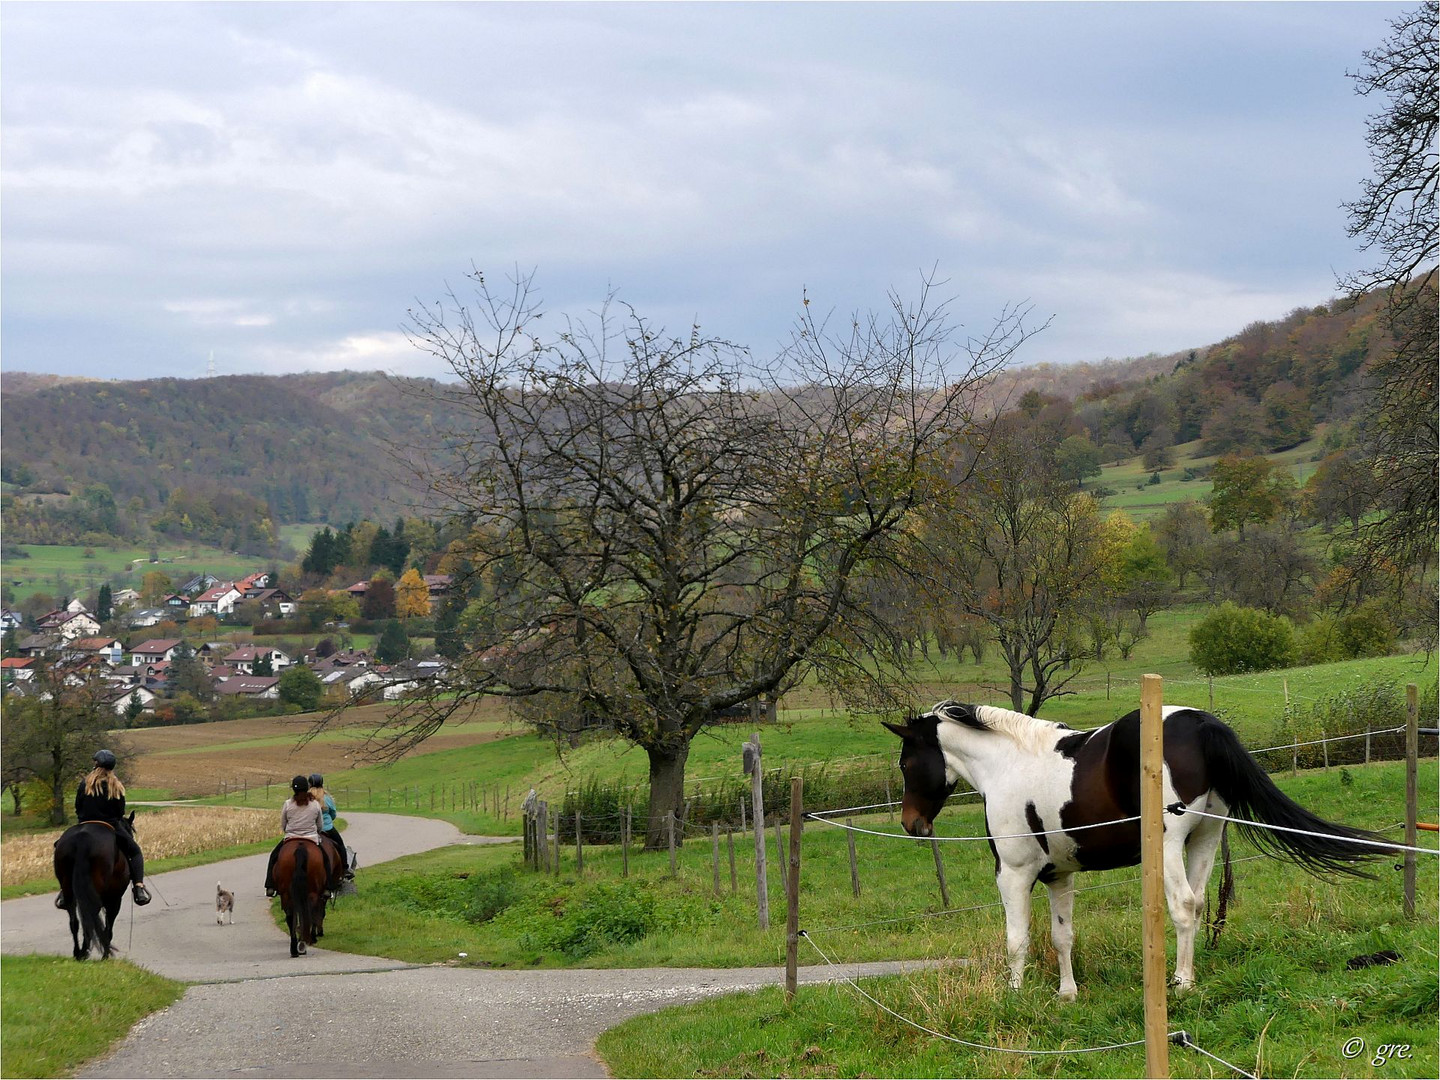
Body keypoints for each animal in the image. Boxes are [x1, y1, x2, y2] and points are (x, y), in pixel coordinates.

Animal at [54, 817, 134, 961]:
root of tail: (81, 838)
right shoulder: (114, 900)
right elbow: (108, 926)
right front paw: (106, 952)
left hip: (67, 886)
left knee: (74, 921)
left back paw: (78, 953)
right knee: (90, 918)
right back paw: (95, 952)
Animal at [881, 705, 1388, 1002]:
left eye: (907, 763)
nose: (912, 824)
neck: (1007, 765)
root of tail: (1198, 721)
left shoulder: (1014, 875)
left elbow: (1016, 940)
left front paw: (1015, 996)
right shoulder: (1059, 876)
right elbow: (1062, 937)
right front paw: (1067, 994)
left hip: (1169, 845)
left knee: (1183, 906)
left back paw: (1181, 983)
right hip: (1205, 840)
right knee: (1198, 906)